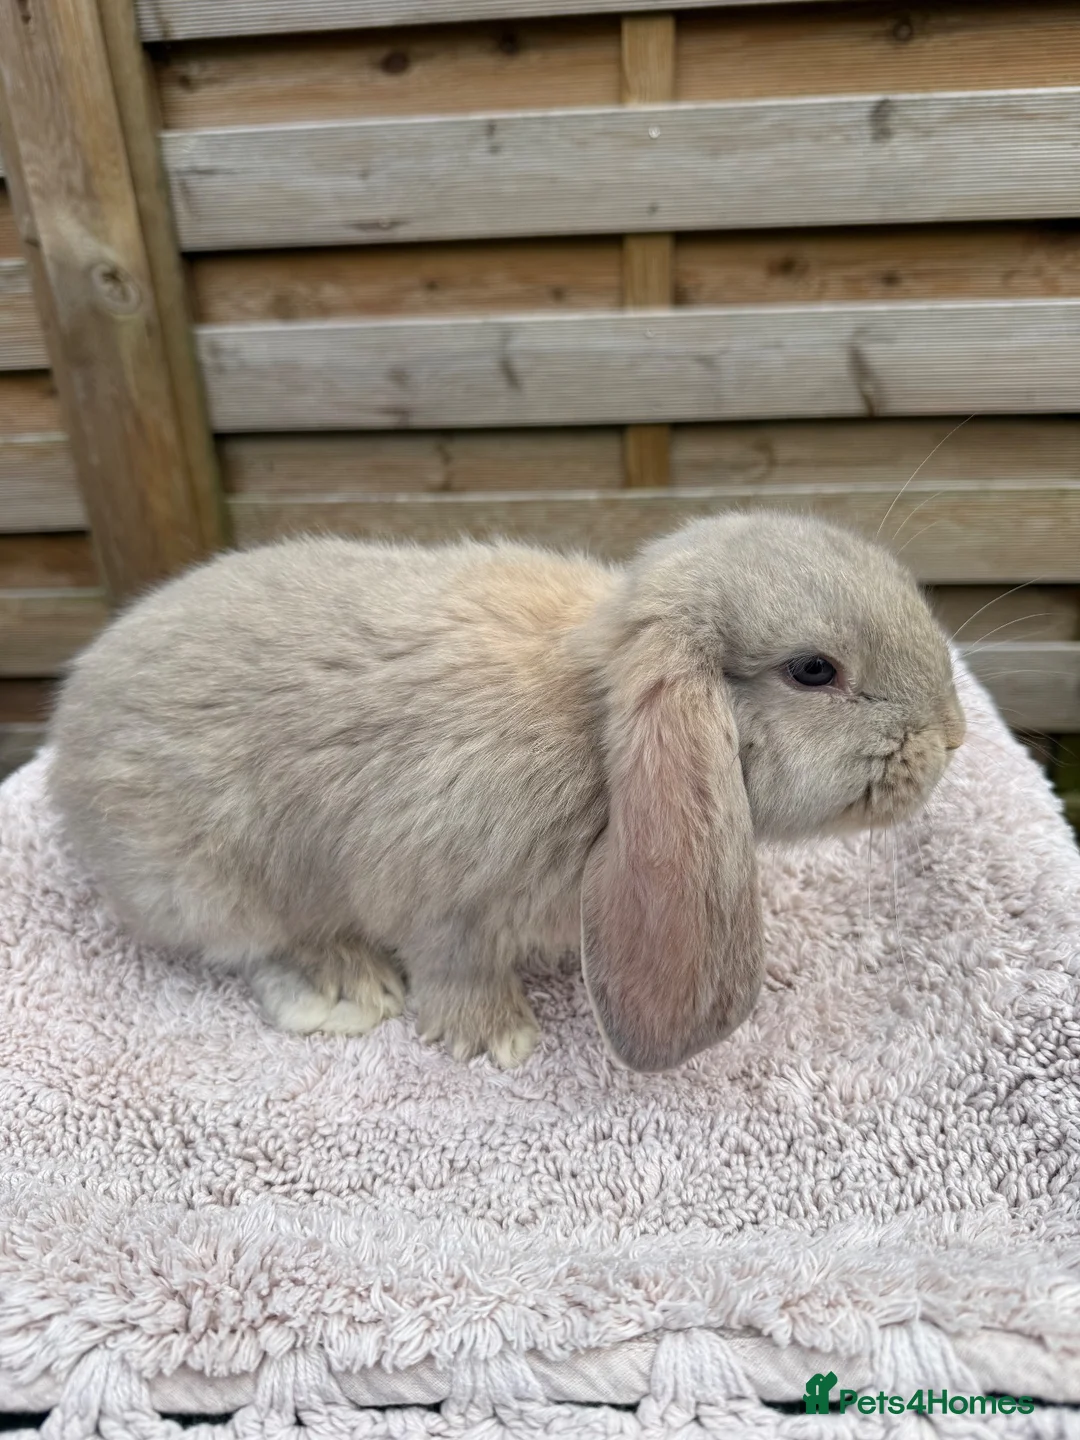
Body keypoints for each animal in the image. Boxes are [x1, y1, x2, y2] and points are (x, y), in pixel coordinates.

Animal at [47, 510, 965, 1073]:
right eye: (814, 671)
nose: (953, 737)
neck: (598, 725)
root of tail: (68, 734)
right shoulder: (448, 896)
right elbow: (455, 966)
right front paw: (497, 1039)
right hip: (206, 880)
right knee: (251, 942)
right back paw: (344, 986)